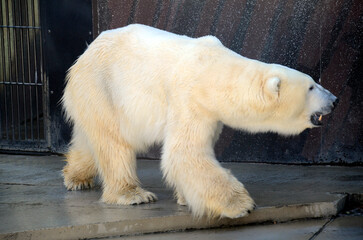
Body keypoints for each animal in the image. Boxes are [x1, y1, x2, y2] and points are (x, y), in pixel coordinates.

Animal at [61, 23, 338, 218]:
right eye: (312, 87)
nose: (335, 99)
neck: (213, 71)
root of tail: (84, 54)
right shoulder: (188, 98)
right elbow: (185, 152)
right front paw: (240, 204)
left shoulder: (211, 113)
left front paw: (185, 196)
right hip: (103, 87)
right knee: (114, 142)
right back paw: (132, 194)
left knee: (92, 138)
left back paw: (76, 177)